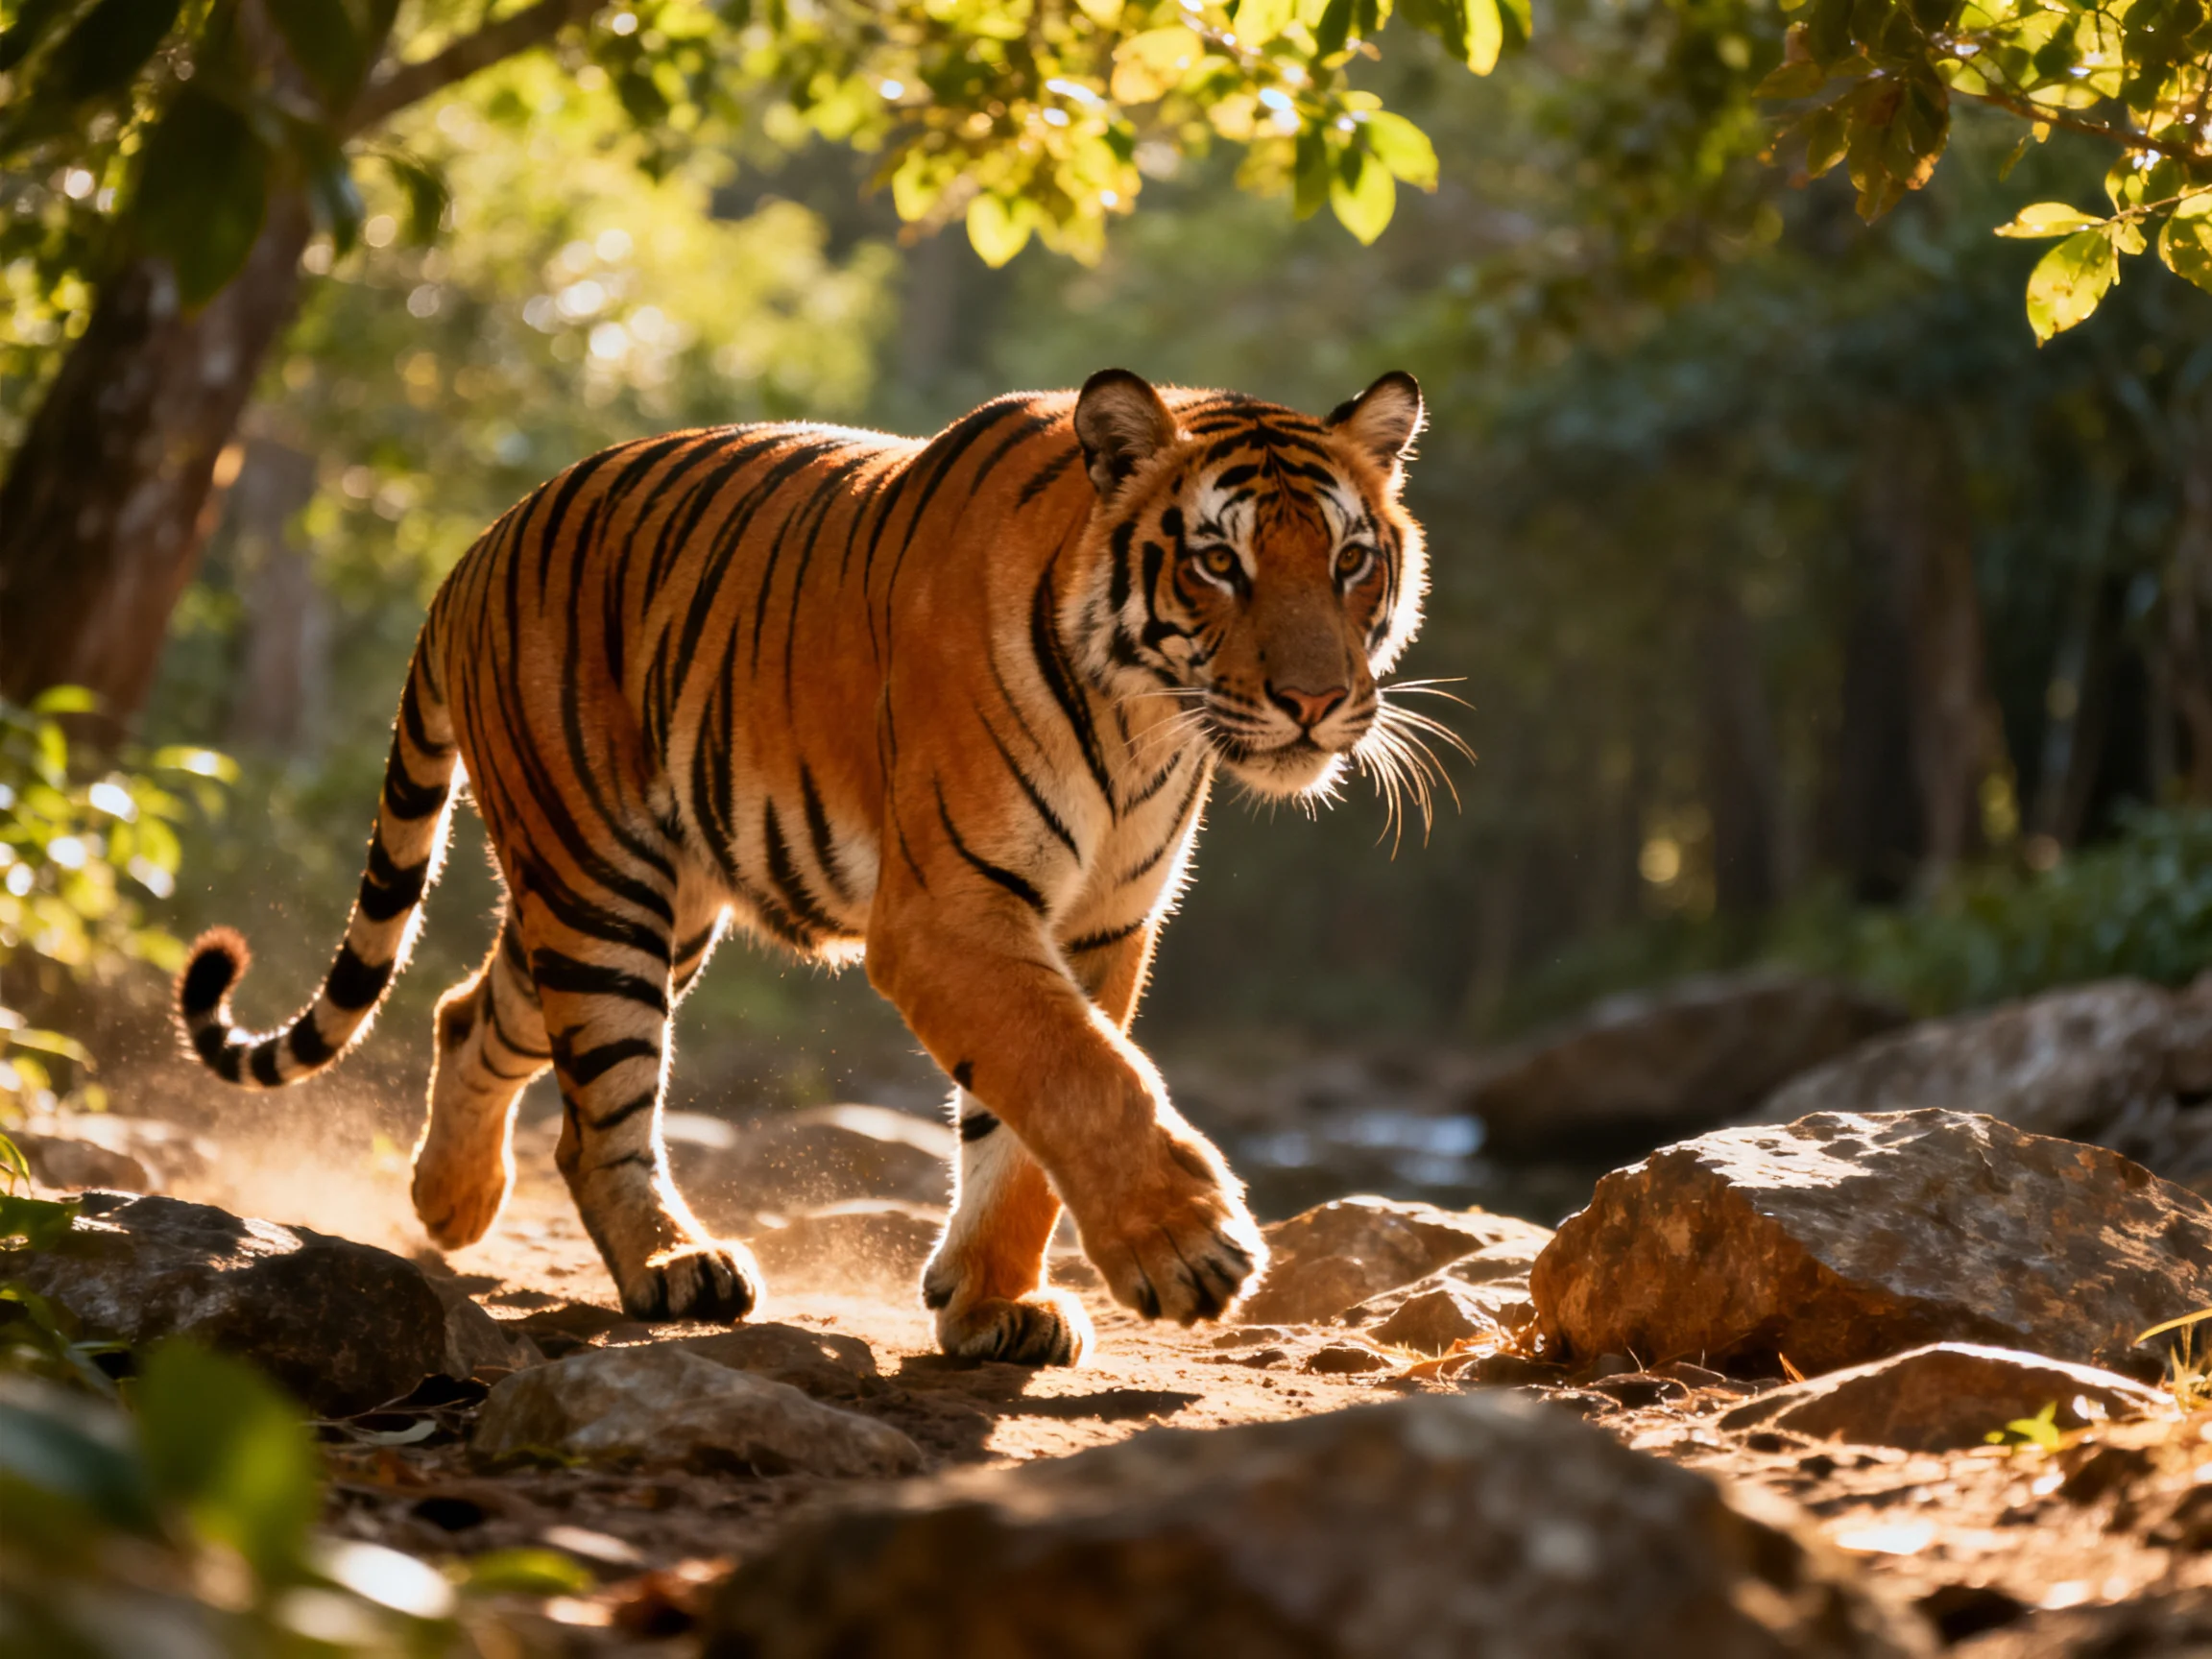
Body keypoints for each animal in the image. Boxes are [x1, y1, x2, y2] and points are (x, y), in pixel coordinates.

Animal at [174, 367, 1434, 1365]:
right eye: (1218, 562)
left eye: (1350, 561)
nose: (1316, 701)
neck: (1145, 722)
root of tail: (474, 552)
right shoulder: (949, 911)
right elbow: (1081, 1072)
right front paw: (1187, 1249)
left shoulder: (1099, 925)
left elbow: (1024, 1121)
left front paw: (994, 1304)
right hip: (600, 887)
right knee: (599, 1115)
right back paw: (671, 1264)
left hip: (650, 907)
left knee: (468, 1011)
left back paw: (452, 1202)